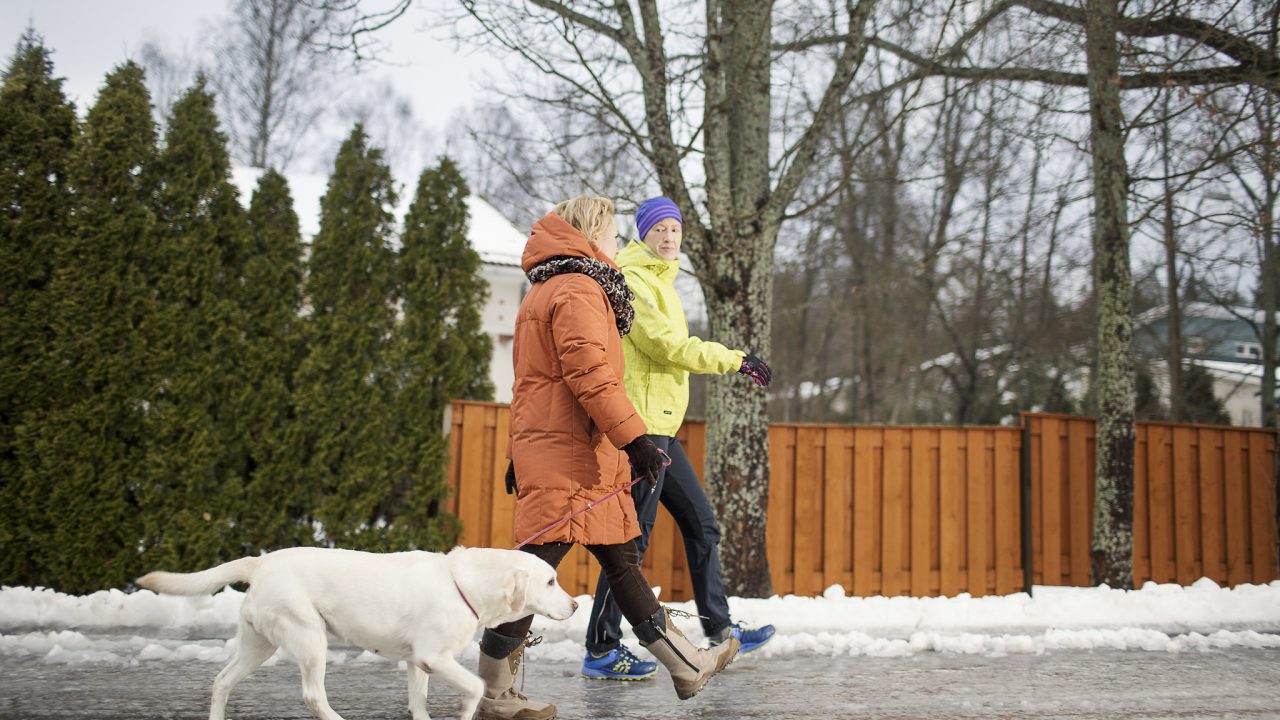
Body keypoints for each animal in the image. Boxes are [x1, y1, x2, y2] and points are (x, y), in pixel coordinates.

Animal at [138, 543, 576, 717]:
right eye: (551, 581)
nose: (574, 605)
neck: (465, 584)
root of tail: (260, 562)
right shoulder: (434, 658)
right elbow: (476, 686)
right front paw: (466, 710)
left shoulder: (418, 663)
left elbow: (418, 702)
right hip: (309, 637)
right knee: (313, 696)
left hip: (258, 645)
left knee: (221, 681)